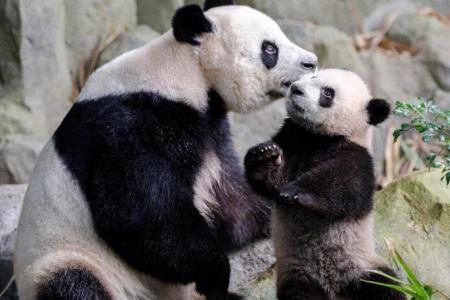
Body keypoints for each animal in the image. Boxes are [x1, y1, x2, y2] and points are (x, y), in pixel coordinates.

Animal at [13, 0, 316, 300]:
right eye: (269, 49)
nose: (311, 62)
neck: (181, 70)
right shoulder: (127, 129)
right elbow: (141, 217)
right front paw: (215, 274)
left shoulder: (208, 130)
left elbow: (231, 199)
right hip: (69, 257)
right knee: (77, 284)